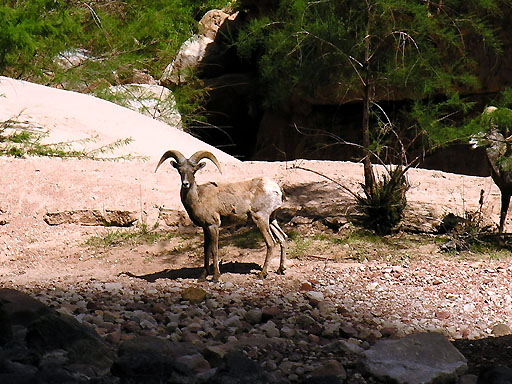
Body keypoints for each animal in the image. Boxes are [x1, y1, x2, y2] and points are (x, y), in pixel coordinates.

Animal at [154, 149, 286, 280]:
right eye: (180, 171)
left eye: (193, 171)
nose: (185, 184)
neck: (198, 198)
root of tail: (276, 190)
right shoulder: (205, 227)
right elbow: (206, 249)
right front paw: (203, 275)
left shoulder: (213, 226)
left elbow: (214, 250)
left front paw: (216, 276)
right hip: (271, 220)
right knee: (282, 238)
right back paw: (281, 269)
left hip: (260, 219)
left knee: (271, 243)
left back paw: (263, 273)